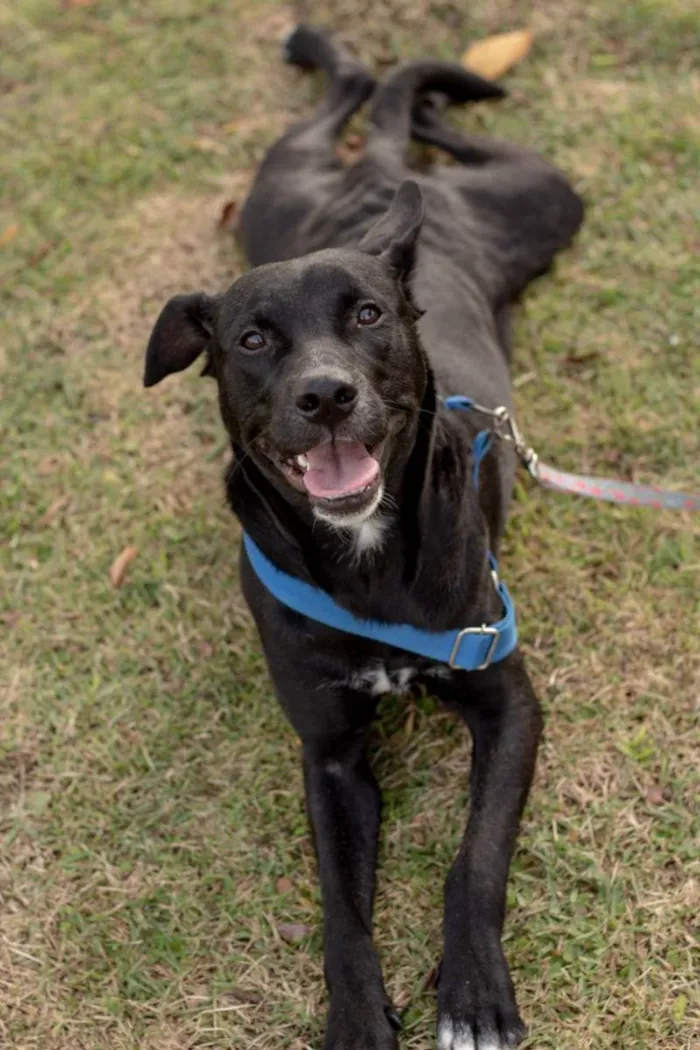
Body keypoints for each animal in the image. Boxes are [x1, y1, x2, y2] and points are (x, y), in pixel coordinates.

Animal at [140, 24, 579, 1050]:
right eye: (253, 340)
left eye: (369, 315)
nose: (327, 395)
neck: (369, 556)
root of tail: (378, 176)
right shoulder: (330, 755)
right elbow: (341, 907)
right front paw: (355, 1015)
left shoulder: (508, 701)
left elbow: (475, 857)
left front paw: (473, 992)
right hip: (278, 183)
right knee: (343, 102)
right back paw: (338, 62)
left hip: (545, 198)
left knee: (412, 113)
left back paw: (417, 104)